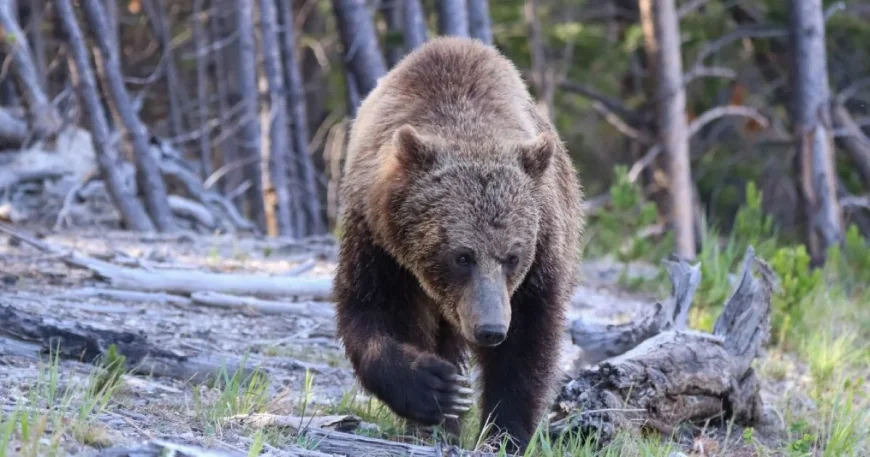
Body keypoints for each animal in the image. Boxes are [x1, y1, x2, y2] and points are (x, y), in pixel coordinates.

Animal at [334, 36, 584, 451]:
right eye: (462, 256)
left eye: (513, 257)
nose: (490, 329)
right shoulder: (377, 242)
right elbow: (371, 311)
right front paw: (437, 389)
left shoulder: (543, 250)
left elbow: (527, 343)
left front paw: (504, 433)